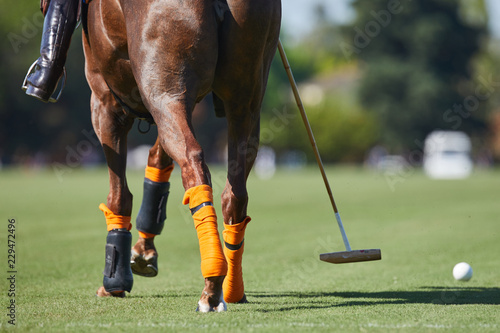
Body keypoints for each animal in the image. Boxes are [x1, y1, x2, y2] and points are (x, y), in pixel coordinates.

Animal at [83, 0, 282, 312]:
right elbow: (157, 159)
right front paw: (143, 253)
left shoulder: (103, 98)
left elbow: (119, 194)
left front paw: (115, 280)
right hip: (245, 96)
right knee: (235, 193)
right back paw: (232, 288)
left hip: (164, 90)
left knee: (193, 161)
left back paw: (211, 286)